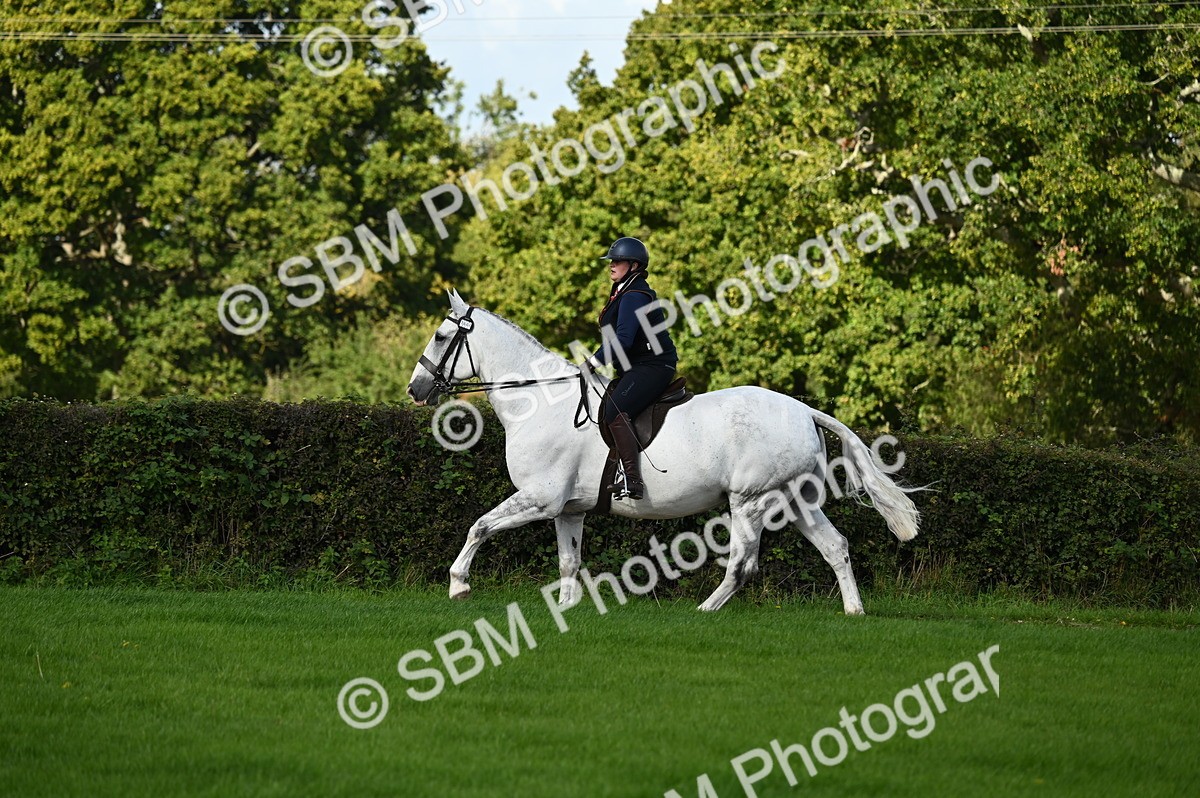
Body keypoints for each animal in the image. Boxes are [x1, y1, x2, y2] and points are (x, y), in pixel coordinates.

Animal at [406, 290, 919, 614]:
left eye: (440, 337)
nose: (416, 389)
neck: (539, 401)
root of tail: (802, 410)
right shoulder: (567, 509)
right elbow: (569, 561)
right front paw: (568, 609)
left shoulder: (540, 498)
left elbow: (479, 526)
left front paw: (458, 585)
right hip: (795, 501)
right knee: (836, 547)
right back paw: (854, 612)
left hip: (750, 502)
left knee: (743, 562)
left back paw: (705, 609)